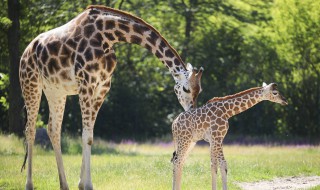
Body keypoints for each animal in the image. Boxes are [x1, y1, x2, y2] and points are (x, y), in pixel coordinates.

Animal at [19, 4, 202, 190]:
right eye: (186, 89)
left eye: (199, 90)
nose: (192, 110)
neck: (107, 35)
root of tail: (26, 51)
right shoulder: (86, 84)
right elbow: (86, 136)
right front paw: (88, 184)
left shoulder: (102, 87)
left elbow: (89, 136)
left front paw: (81, 184)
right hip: (30, 83)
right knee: (30, 129)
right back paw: (29, 184)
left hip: (56, 91)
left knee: (53, 129)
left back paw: (64, 184)